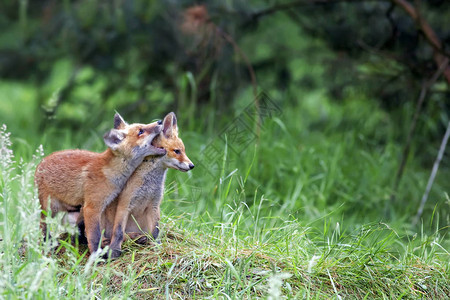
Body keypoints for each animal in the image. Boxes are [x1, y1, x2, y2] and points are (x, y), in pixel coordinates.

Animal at [34, 113, 166, 254]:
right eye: (140, 131)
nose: (160, 121)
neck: (110, 172)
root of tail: (41, 161)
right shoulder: (92, 207)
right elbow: (94, 236)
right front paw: (97, 255)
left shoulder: (91, 206)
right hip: (50, 209)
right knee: (43, 226)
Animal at [100, 112, 193, 258]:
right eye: (177, 151)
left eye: (183, 151)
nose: (192, 165)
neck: (150, 185)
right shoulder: (124, 205)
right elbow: (118, 232)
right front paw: (114, 250)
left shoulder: (154, 205)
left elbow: (155, 231)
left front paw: (157, 248)